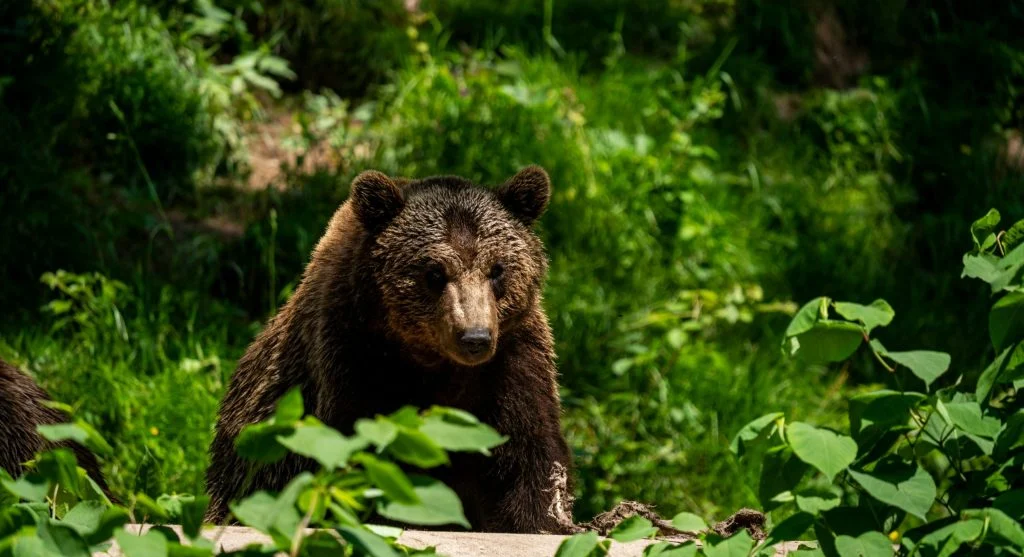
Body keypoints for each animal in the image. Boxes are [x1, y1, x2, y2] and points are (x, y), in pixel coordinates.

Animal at [205, 166, 574, 533]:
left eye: (497, 269)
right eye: (434, 272)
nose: (475, 338)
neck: (431, 361)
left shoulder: (511, 363)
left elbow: (528, 458)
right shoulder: (355, 358)